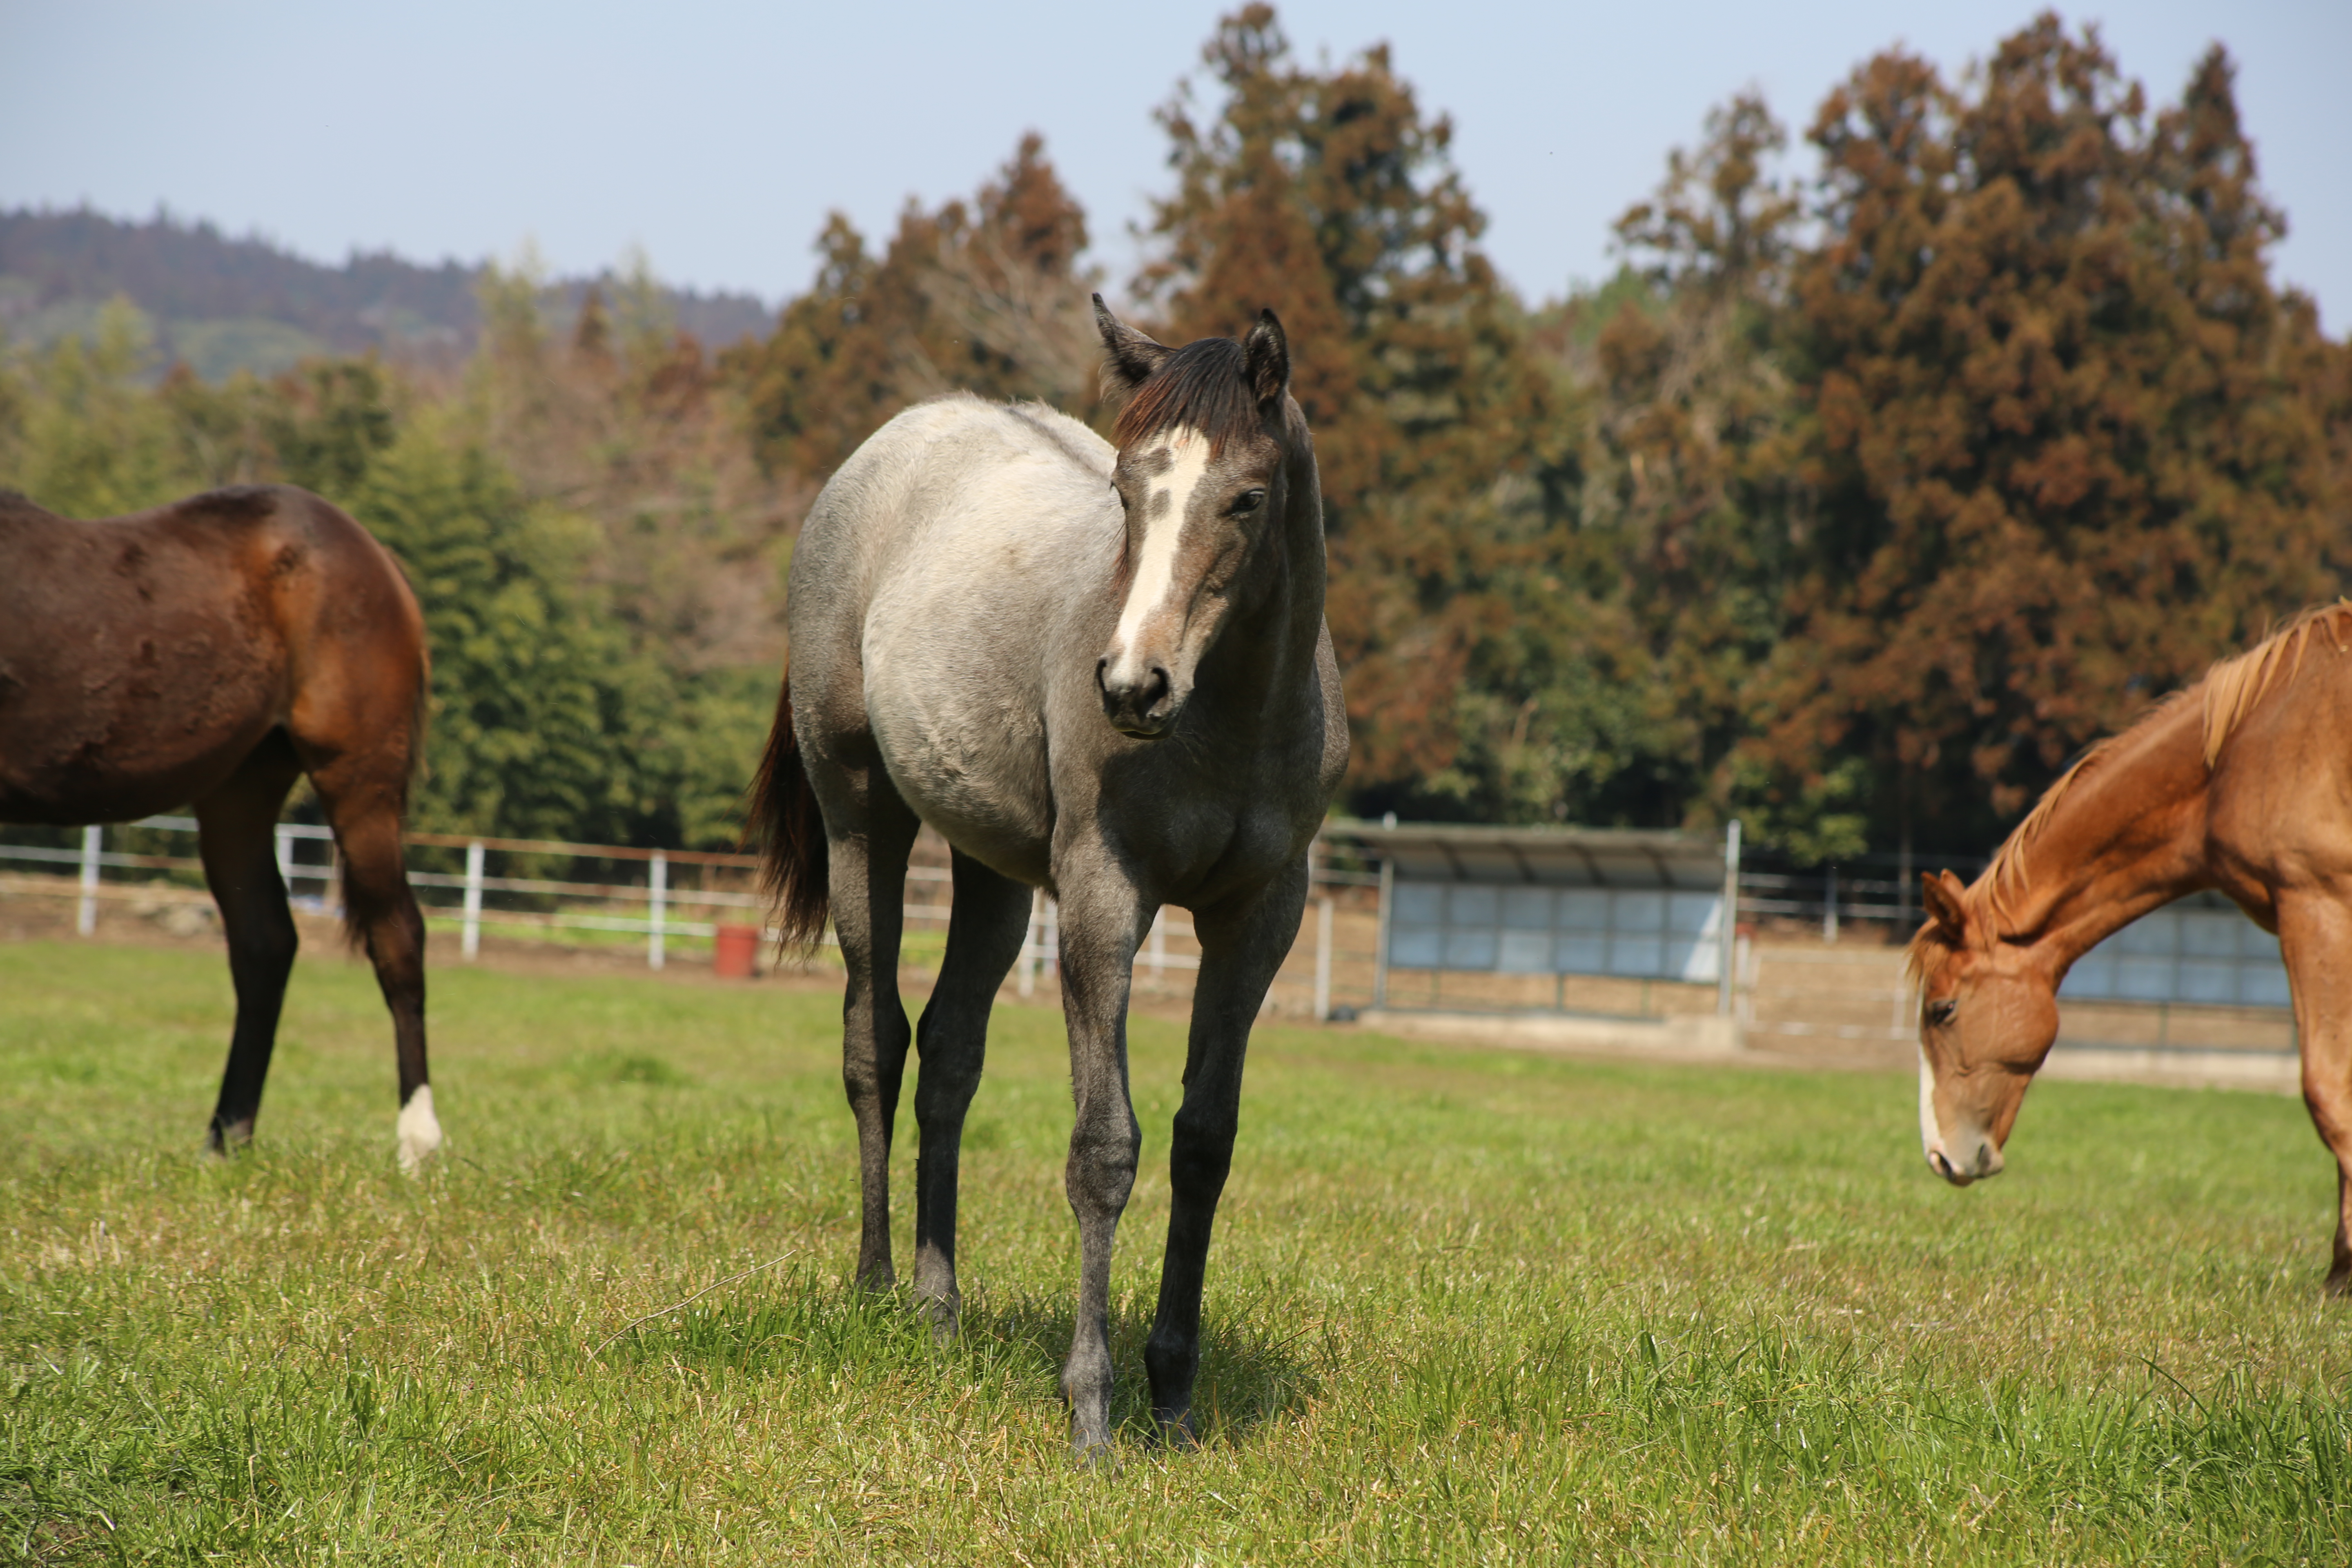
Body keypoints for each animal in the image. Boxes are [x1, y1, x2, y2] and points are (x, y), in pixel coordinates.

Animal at [1, 486, 442, 1166]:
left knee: (396, 937)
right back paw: (226, 1140)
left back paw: (415, 1142)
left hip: (360, 777)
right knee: (266, 945)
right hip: (240, 792)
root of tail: (372, 552)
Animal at [753, 303, 1345, 1457]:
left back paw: (937, 1307)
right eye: (1123, 491)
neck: (1231, 716)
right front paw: (1092, 1411)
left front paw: (1173, 1393)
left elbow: (1203, 1143)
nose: (1129, 686)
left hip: (990, 871)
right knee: (874, 1040)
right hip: (862, 821)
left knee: (948, 1056)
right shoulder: (1104, 900)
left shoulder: (1259, 918)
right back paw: (876, 1284)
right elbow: (1102, 1150)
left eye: (1245, 499)